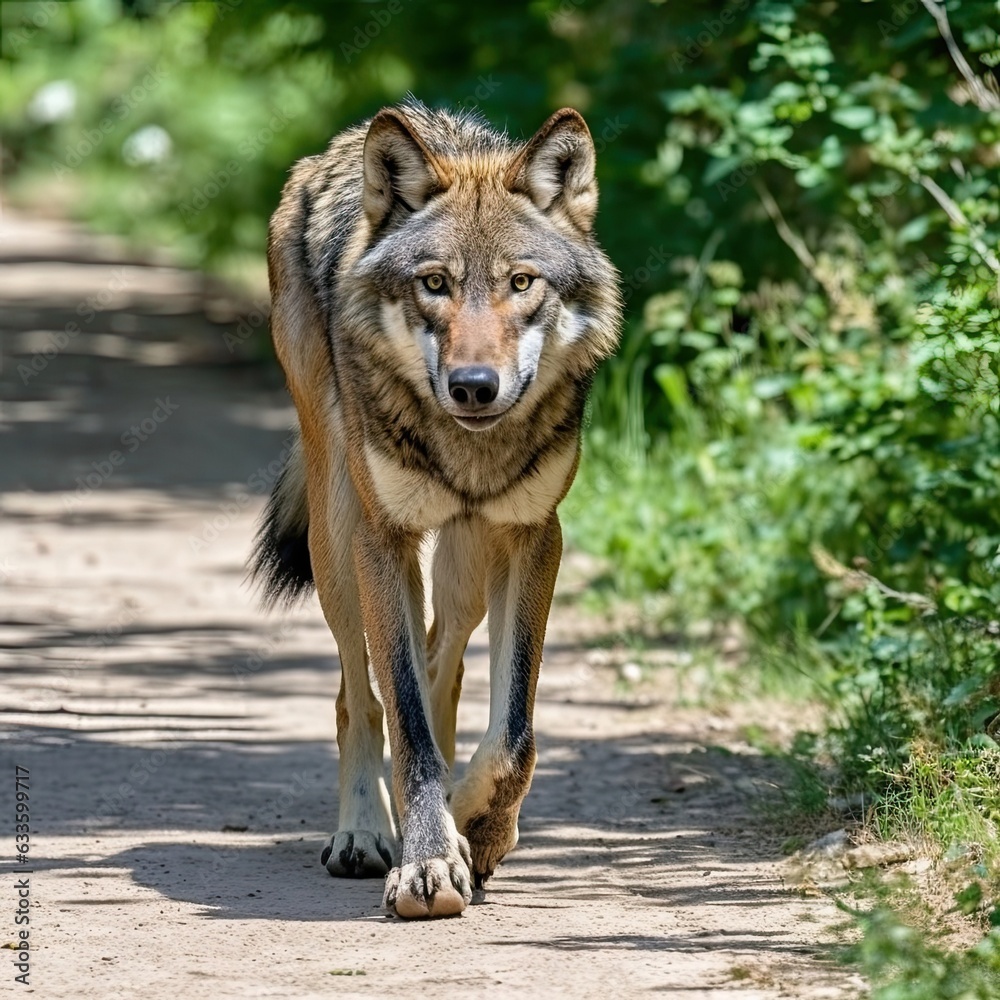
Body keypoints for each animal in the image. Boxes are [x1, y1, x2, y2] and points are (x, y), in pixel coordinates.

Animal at [251, 98, 621, 919]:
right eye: (435, 283)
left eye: (521, 282)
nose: (474, 386)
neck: (469, 453)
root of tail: (343, 142)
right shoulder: (383, 539)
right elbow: (408, 724)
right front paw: (426, 862)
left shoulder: (533, 537)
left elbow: (512, 732)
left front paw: (475, 828)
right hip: (339, 540)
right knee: (360, 698)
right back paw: (364, 833)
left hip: (464, 562)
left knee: (438, 662)